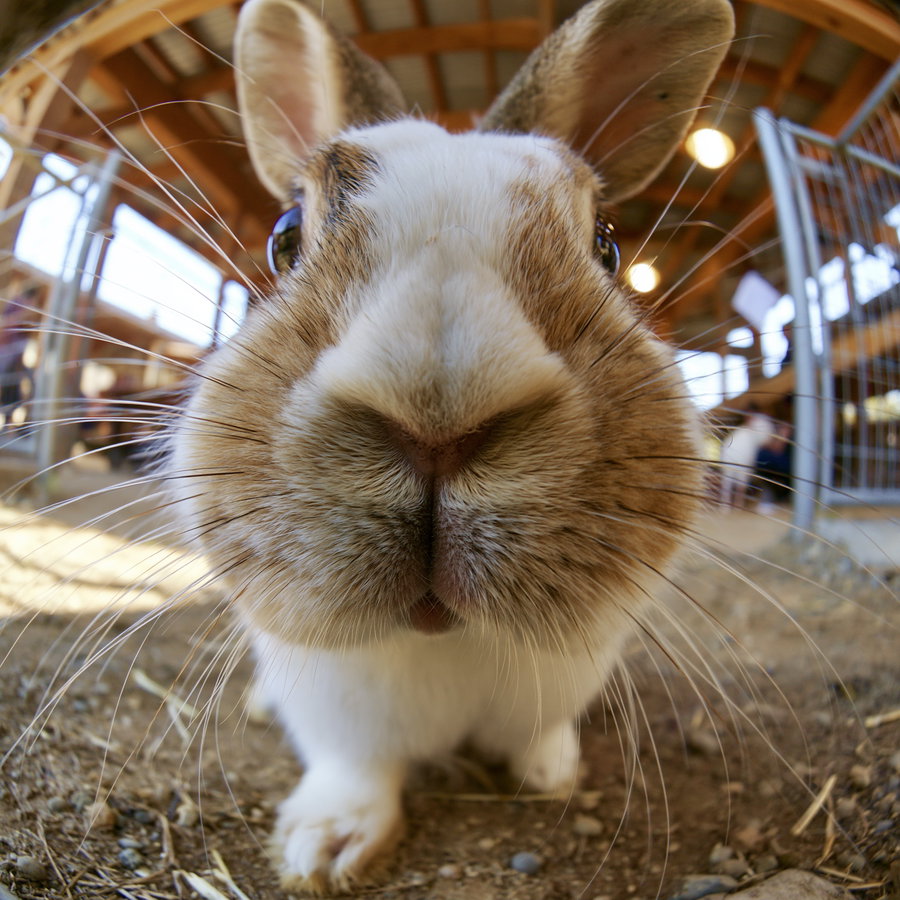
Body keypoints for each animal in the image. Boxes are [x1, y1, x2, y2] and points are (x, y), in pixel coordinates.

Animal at [168, 0, 734, 892]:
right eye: (285, 238)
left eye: (607, 246)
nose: (436, 420)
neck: (446, 645)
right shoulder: (338, 711)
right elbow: (357, 768)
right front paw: (322, 848)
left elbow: (539, 737)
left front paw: (550, 775)